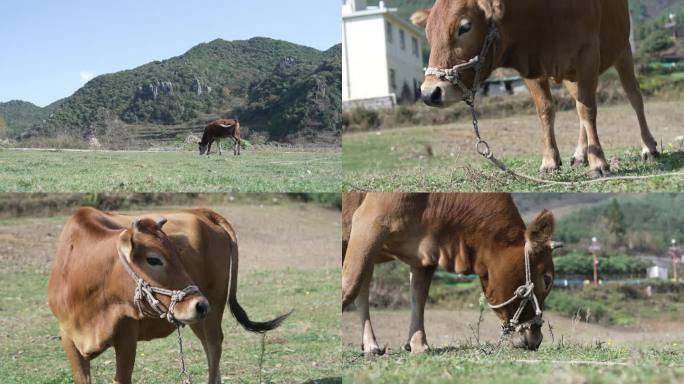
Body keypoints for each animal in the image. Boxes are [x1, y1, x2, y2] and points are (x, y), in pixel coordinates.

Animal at [48, 207, 288, 384]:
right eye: (154, 259)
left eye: (178, 253)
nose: (200, 304)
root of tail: (200, 211)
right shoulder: (68, 338)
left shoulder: (127, 336)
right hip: (198, 318)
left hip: (214, 306)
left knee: (214, 346)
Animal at [342, 194, 556, 352]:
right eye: (547, 279)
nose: (537, 338)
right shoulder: (370, 221)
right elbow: (349, 285)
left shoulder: (424, 253)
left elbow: (418, 297)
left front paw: (418, 345)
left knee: (363, 290)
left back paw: (370, 345)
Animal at [414, 0, 660, 178]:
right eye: (428, 33)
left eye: (464, 27)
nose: (429, 92)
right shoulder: (532, 67)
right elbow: (546, 110)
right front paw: (550, 161)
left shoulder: (588, 54)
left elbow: (588, 109)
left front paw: (598, 162)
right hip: (573, 75)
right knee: (577, 104)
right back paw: (580, 154)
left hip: (623, 50)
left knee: (634, 97)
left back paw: (649, 147)